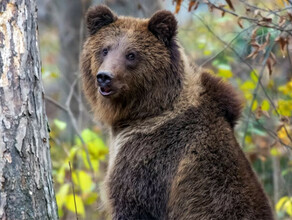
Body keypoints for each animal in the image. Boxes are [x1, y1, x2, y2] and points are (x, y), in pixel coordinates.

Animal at [81, 5, 274, 220]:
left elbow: (133, 202)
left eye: (131, 54)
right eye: (105, 49)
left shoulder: (152, 159)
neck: (144, 112)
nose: (104, 77)